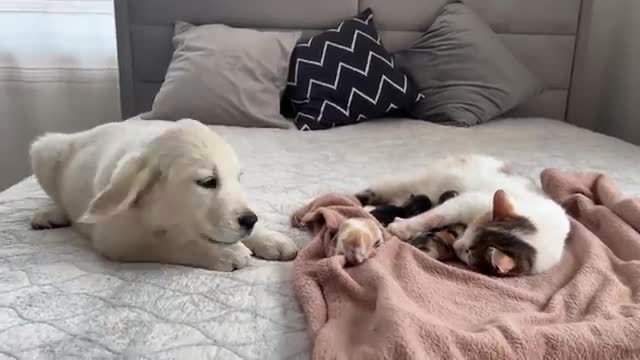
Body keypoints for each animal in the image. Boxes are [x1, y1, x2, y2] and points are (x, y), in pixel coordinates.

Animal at [28, 119, 298, 272]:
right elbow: (172, 243)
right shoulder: (116, 238)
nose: (250, 220)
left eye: (238, 178)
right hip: (43, 150)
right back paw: (52, 214)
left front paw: (270, 239)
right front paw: (225, 252)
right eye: (208, 182)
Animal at [356, 154, 568, 276]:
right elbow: (437, 215)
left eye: (469, 253)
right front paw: (402, 227)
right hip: (411, 181)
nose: (457, 245)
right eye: (472, 230)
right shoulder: (466, 201)